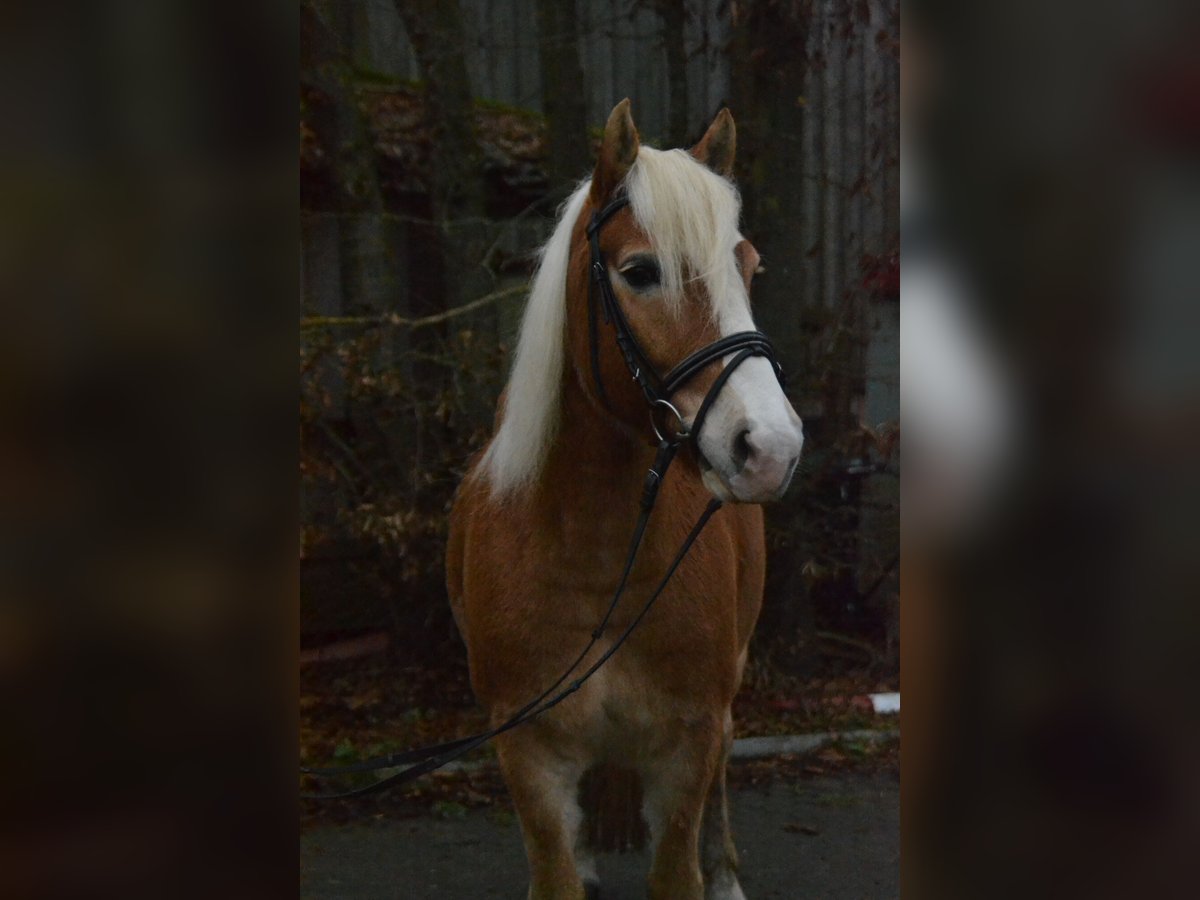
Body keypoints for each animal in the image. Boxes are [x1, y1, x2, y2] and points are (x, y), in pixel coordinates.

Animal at [446, 100, 801, 900]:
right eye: (641, 272)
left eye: (748, 267)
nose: (772, 447)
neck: (593, 549)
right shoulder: (530, 757)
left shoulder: (685, 747)